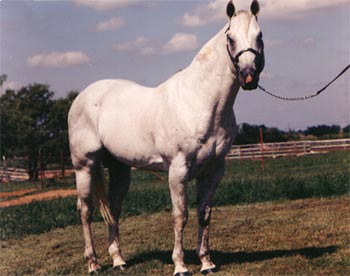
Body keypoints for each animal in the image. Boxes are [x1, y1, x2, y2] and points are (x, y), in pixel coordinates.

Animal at [68, 1, 264, 274]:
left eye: (260, 36)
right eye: (230, 38)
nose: (248, 76)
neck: (199, 101)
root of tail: (83, 96)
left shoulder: (214, 170)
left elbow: (204, 213)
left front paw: (206, 262)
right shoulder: (178, 170)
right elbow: (180, 216)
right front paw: (180, 265)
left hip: (119, 167)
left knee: (114, 208)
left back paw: (119, 260)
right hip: (84, 165)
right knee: (85, 210)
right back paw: (93, 264)